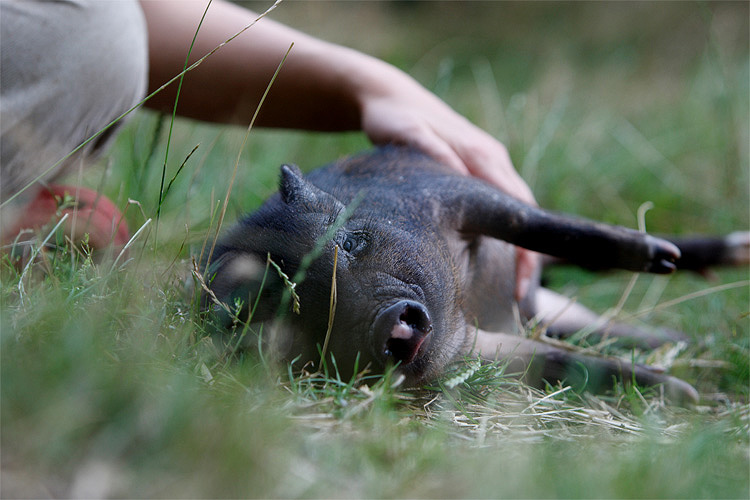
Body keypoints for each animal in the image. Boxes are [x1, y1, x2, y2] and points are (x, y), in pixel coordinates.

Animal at [203, 146, 748, 404]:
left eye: (350, 241)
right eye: (293, 309)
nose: (386, 319)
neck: (466, 304)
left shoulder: (452, 189)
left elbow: (540, 225)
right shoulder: (472, 348)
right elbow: (557, 361)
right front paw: (686, 396)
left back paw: (695, 257)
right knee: (591, 327)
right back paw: (687, 346)